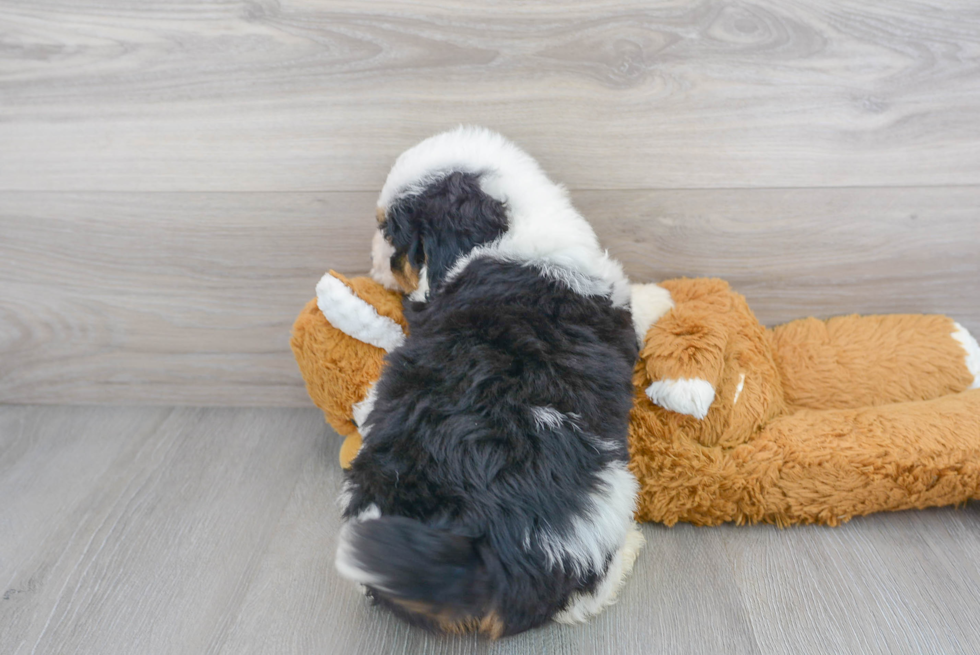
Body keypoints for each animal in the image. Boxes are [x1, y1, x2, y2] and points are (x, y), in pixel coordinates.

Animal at [334, 125, 644, 640]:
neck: (510, 230)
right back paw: (627, 555)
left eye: (389, 234)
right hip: (607, 500)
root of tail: (476, 553)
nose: (373, 263)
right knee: (580, 594)